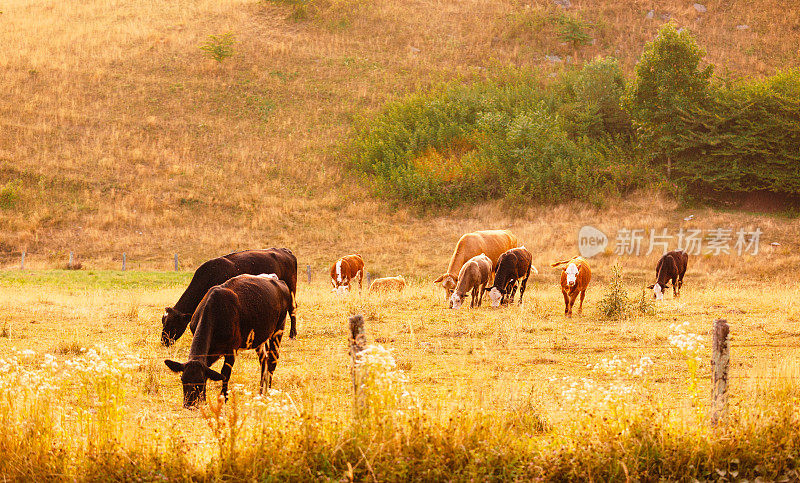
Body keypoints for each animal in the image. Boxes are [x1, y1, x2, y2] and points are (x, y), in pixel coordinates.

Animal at [161, 248, 298, 346]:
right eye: (163, 321)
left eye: (172, 323)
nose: (163, 341)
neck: (210, 274)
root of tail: (285, 251)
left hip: (291, 287)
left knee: (293, 308)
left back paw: (292, 334)